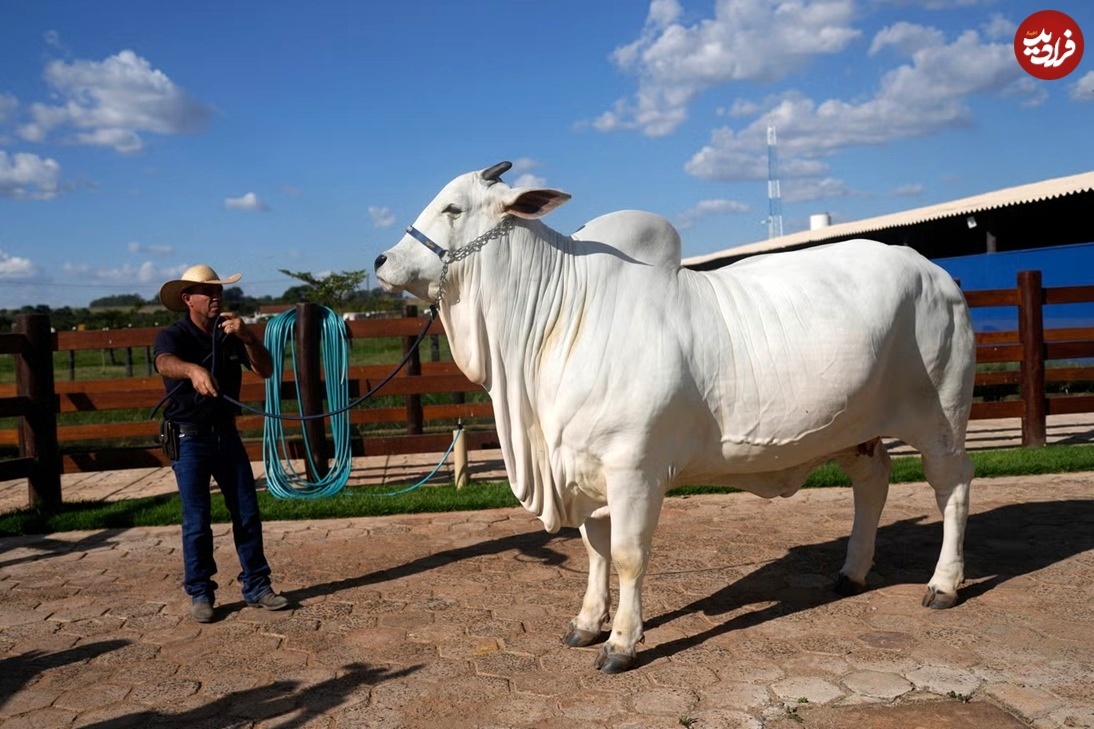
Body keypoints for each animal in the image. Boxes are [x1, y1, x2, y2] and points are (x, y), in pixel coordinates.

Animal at [376, 162, 975, 674]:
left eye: (453, 207)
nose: (382, 261)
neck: (558, 319)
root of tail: (936, 272)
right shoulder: (586, 469)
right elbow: (594, 551)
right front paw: (587, 623)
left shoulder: (634, 469)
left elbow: (627, 555)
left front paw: (622, 642)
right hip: (859, 430)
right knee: (873, 482)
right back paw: (852, 572)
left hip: (940, 419)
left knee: (952, 487)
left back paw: (944, 584)